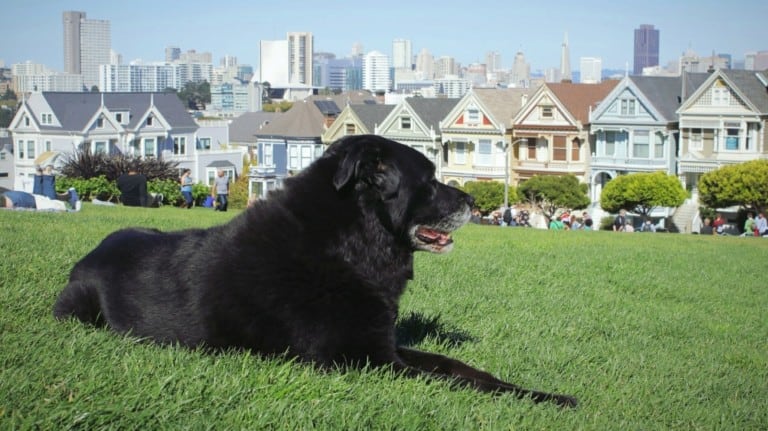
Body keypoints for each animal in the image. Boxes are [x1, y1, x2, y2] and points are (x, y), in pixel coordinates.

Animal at [54, 135, 576, 408]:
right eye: (428, 183)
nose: (473, 201)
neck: (348, 246)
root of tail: (93, 251)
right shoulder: (367, 361)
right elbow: (454, 381)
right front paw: (546, 400)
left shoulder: (382, 346)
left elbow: (458, 367)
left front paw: (533, 390)